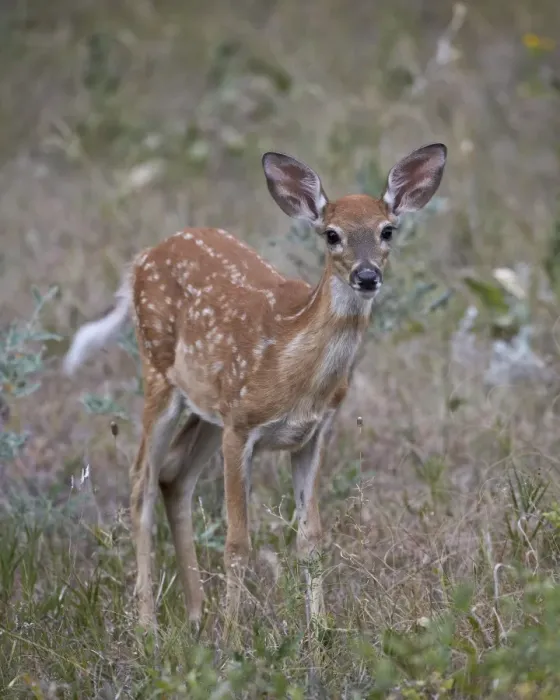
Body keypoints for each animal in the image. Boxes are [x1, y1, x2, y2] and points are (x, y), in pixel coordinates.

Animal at [63, 143, 447, 638]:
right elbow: (237, 543)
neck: (296, 373)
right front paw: (234, 641)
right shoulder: (241, 428)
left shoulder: (312, 433)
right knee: (140, 481)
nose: (367, 276)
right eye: (332, 235)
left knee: (174, 474)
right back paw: (148, 625)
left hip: (207, 408)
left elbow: (310, 537)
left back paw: (196, 614)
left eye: (387, 230)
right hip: (159, 374)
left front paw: (319, 632)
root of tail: (141, 258)